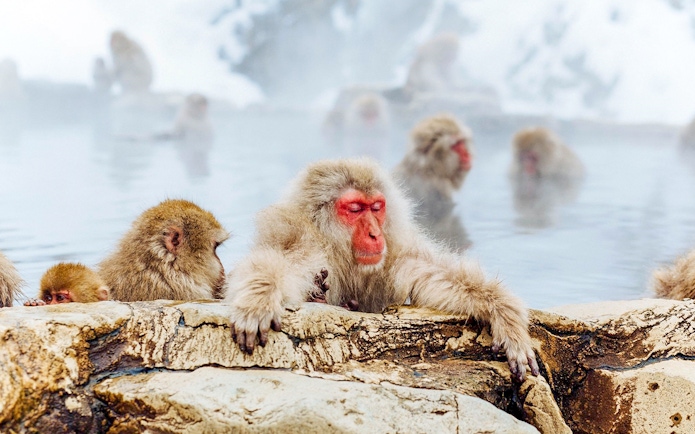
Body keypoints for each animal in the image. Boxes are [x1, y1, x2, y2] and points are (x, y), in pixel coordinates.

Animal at [226, 158, 539, 381]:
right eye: (354, 209)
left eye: (376, 207)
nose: (375, 234)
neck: (339, 251)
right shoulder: (302, 241)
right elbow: (277, 264)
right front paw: (258, 299)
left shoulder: (394, 252)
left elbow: (434, 276)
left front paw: (505, 315)